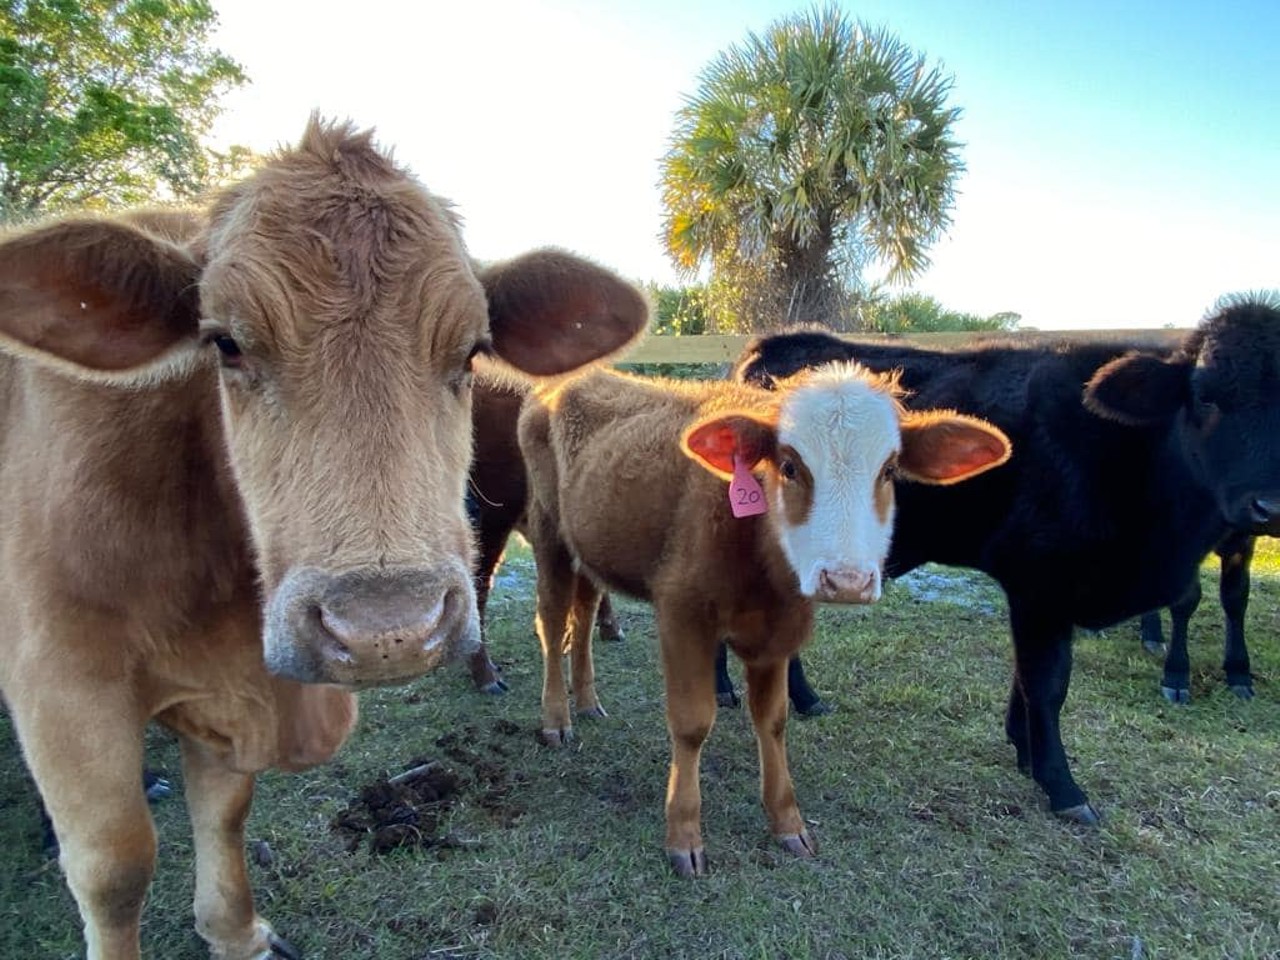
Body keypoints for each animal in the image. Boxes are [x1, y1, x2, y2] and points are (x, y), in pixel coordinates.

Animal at [0, 118, 645, 960]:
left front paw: (236, 932)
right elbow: (115, 867)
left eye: (472, 350)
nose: (385, 632)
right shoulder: (59, 682)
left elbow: (226, 811)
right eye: (226, 343)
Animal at [517, 363, 1008, 875]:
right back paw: (556, 717)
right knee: (552, 621)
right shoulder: (682, 613)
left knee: (584, 613)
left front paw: (787, 821)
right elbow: (692, 723)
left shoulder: (781, 630)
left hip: (588, 545)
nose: (847, 581)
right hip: (547, 531)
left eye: (889, 470)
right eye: (789, 466)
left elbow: (773, 720)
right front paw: (684, 834)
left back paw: (588, 700)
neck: (758, 552)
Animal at [732, 296, 1280, 824]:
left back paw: (801, 697)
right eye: (1205, 395)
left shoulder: (1043, 595)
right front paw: (1062, 786)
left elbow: (1027, 677)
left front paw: (1025, 749)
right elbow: (1047, 684)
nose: (1268, 507)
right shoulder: (1041, 588)